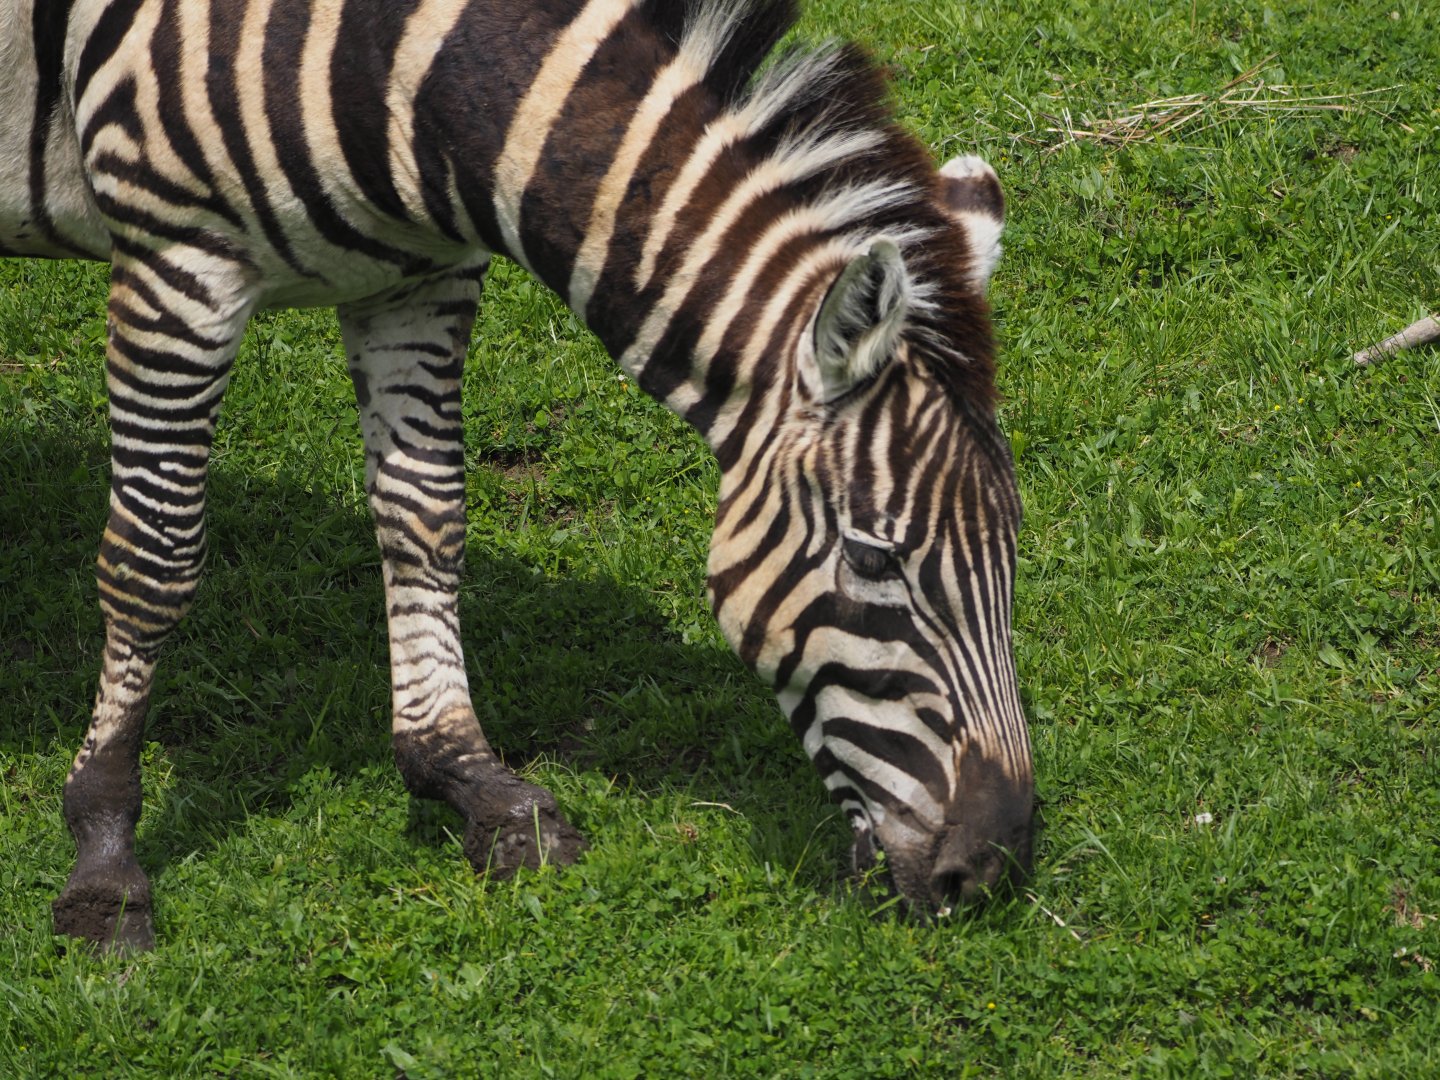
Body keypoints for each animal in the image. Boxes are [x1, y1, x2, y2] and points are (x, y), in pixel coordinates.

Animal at [3, 0, 1033, 949]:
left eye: (1012, 551)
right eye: (874, 557)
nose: (991, 872)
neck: (402, 63)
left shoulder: (418, 278)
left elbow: (426, 518)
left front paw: (474, 784)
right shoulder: (178, 266)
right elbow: (154, 559)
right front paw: (105, 859)